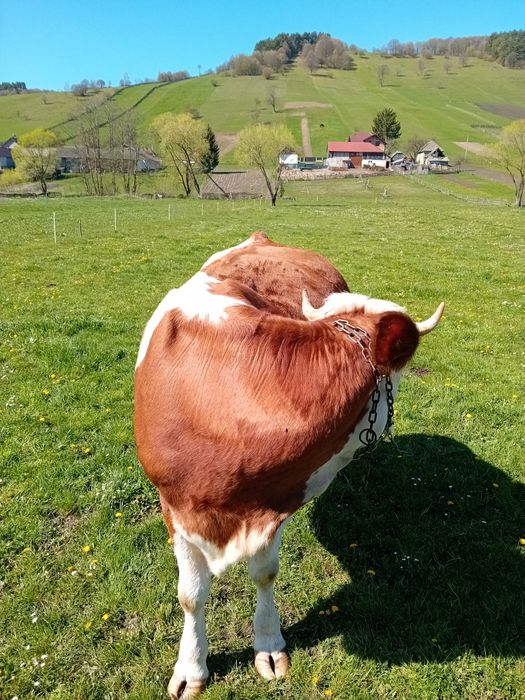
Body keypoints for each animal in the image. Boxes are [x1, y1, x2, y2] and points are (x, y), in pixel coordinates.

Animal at [134, 232, 444, 698]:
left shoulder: (275, 501)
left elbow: (265, 573)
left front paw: (268, 643)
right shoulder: (174, 505)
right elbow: (191, 594)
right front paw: (191, 666)